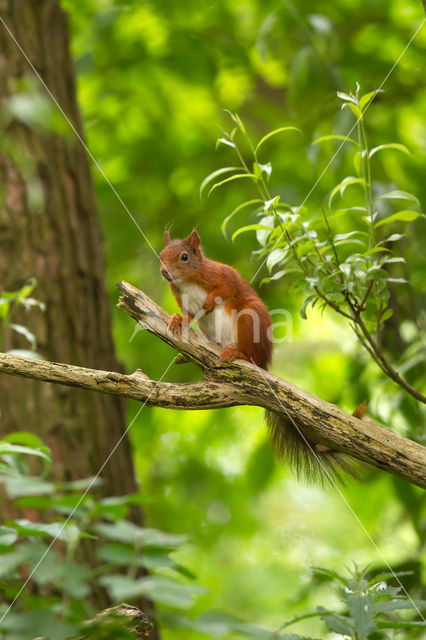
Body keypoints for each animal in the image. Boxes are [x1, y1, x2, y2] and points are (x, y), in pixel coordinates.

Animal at [161, 230, 358, 484]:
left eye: (184, 256)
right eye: (161, 255)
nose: (165, 272)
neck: (186, 282)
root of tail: (265, 364)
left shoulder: (221, 274)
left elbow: (225, 288)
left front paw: (210, 302)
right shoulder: (183, 301)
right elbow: (188, 315)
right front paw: (177, 320)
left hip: (249, 319)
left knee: (251, 356)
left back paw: (237, 353)